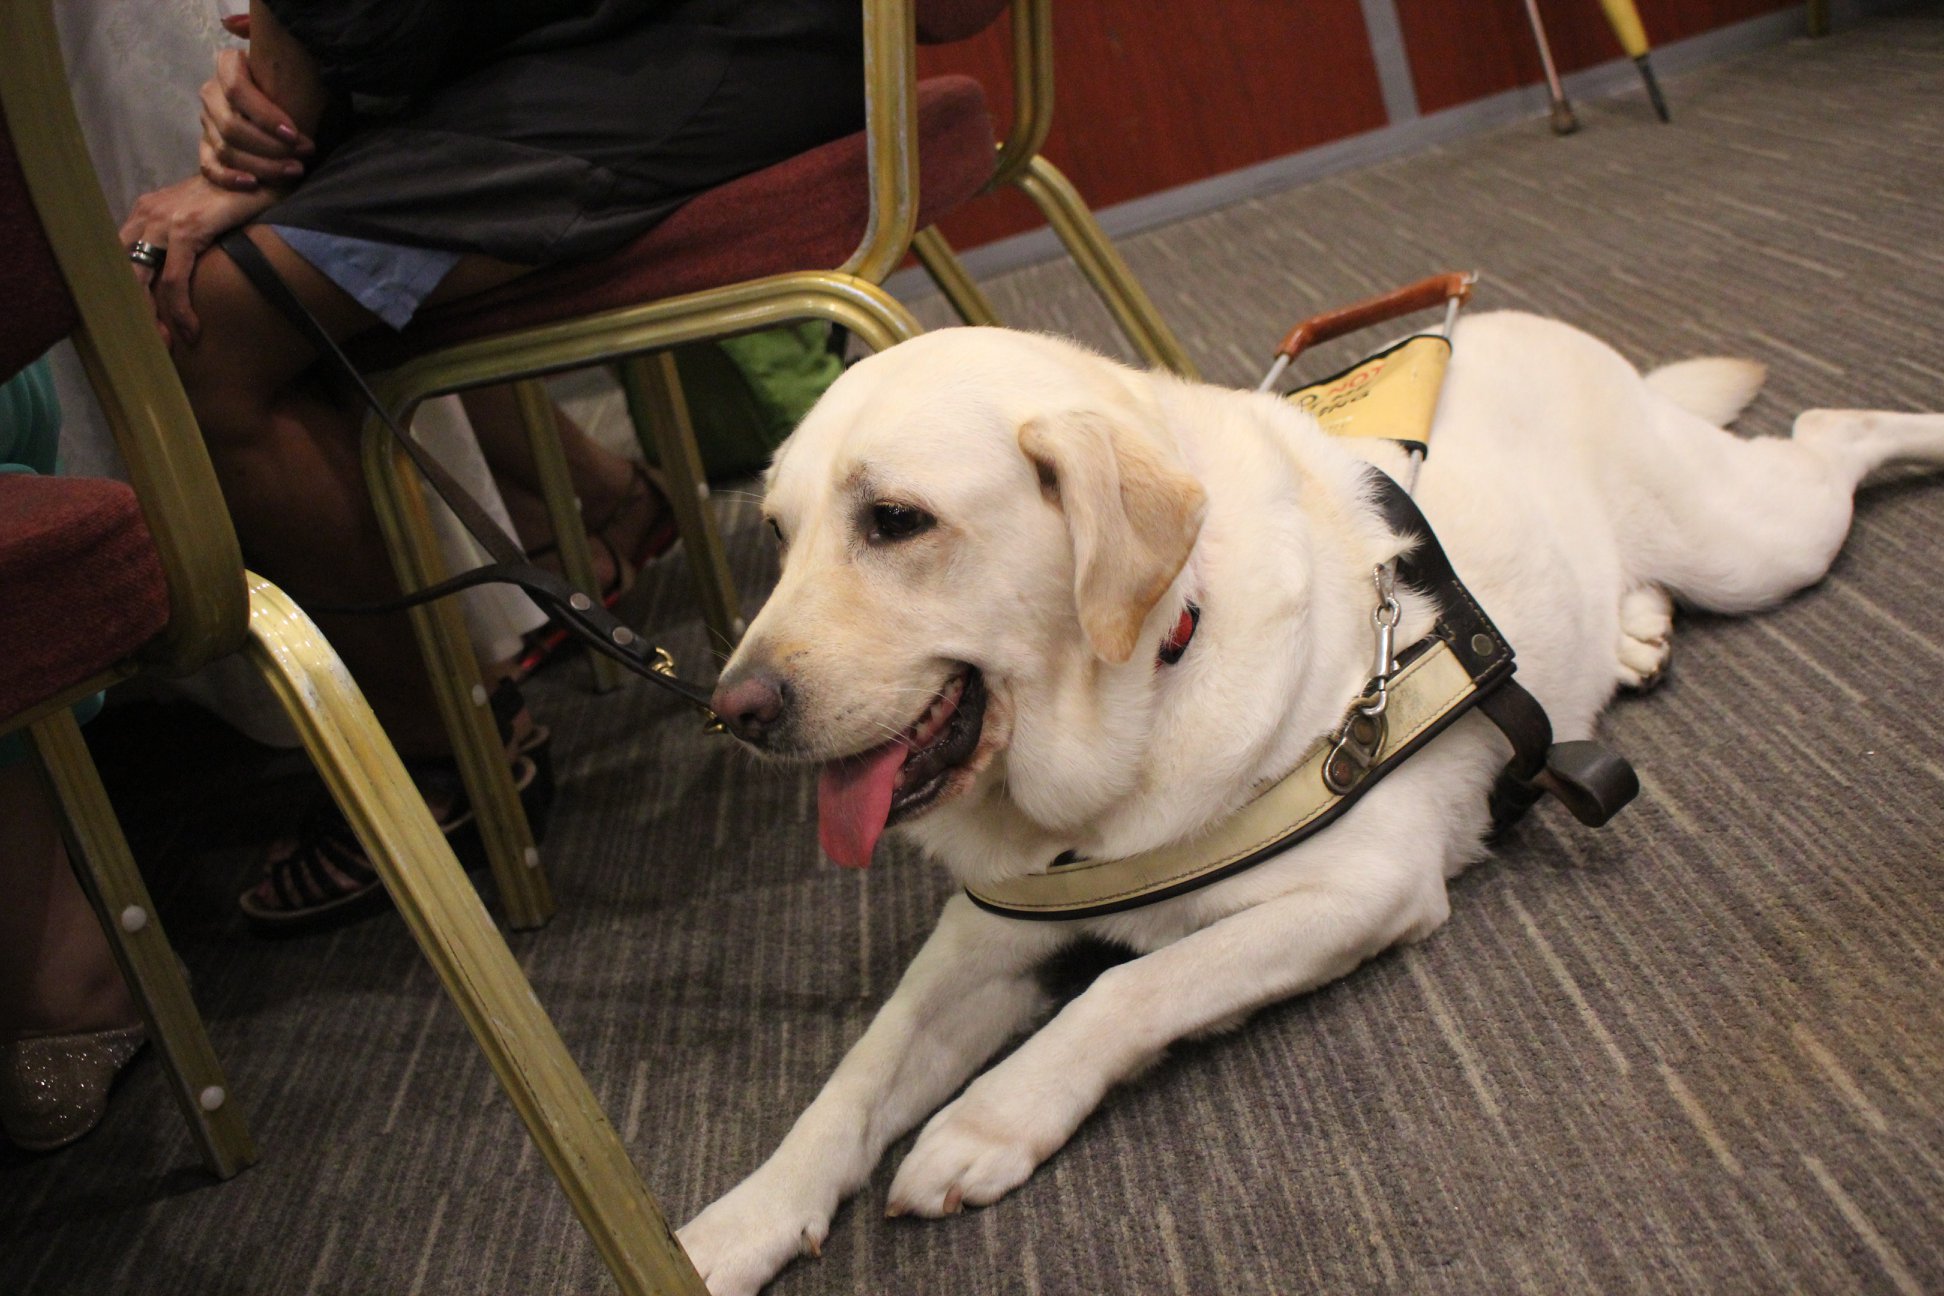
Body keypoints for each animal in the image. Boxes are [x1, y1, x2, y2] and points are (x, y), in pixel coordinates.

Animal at [676, 316, 1936, 1296]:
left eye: (896, 521)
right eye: (778, 534)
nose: (733, 708)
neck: (1145, 692)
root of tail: (1532, 323)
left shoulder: (1363, 887)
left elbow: (1134, 987)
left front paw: (984, 1123)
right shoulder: (986, 933)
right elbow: (859, 1070)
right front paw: (740, 1220)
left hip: (1753, 542)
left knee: (1830, 433)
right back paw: (1633, 630)